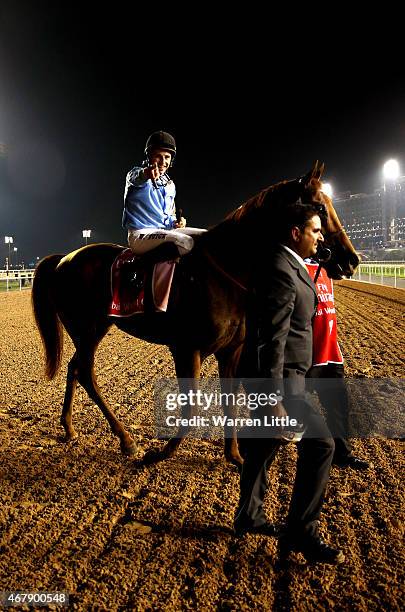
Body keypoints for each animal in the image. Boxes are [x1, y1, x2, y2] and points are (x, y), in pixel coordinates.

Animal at [33, 163, 358, 464]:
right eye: (319, 207)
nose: (351, 260)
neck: (225, 270)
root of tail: (64, 259)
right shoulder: (187, 349)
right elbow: (190, 403)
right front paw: (163, 452)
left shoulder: (231, 351)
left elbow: (230, 400)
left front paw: (234, 455)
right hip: (88, 328)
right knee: (86, 372)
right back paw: (126, 439)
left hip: (90, 330)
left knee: (75, 368)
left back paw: (70, 428)